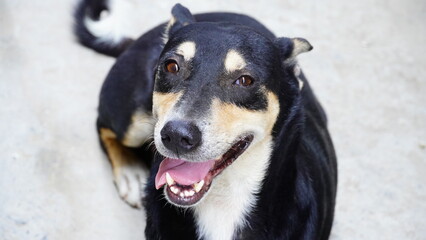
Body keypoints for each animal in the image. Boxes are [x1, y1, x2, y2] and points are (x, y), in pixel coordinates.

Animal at [75, 0, 338, 239]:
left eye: (245, 80)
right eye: (171, 66)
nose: (176, 136)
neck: (223, 203)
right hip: (134, 119)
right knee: (102, 126)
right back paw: (130, 172)